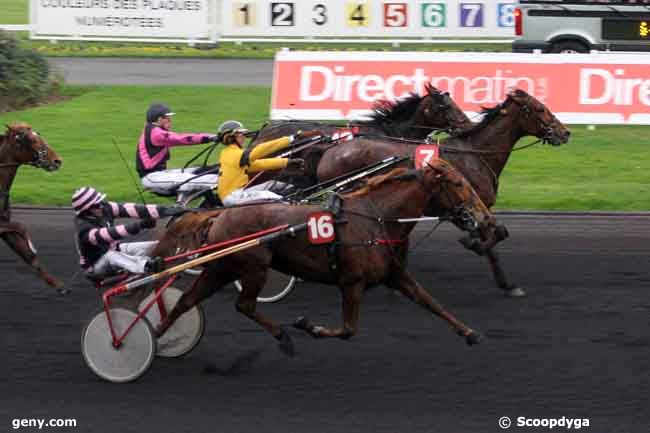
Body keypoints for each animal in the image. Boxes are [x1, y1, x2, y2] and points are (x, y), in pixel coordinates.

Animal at [0, 123, 63, 288]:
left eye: (38, 134)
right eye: (32, 140)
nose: (57, 160)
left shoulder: (4, 225)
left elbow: (29, 256)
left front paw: (57, 285)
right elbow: (20, 226)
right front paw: (31, 244)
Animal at [151, 159, 502, 354]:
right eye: (458, 183)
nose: (484, 218)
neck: (377, 217)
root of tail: (218, 215)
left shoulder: (396, 276)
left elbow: (431, 302)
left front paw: (470, 333)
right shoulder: (352, 282)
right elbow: (348, 330)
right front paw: (309, 326)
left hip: (221, 267)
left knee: (187, 301)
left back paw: (156, 335)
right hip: (252, 268)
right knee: (244, 305)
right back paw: (284, 336)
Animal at [316, 88, 568, 296]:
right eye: (540, 108)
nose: (565, 133)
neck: (476, 155)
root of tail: (329, 152)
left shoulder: (476, 208)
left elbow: (498, 234)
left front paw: (505, 282)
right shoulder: (458, 208)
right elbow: (494, 236)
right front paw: (477, 247)